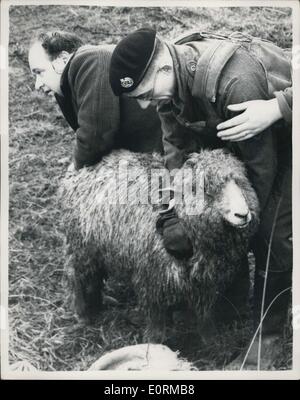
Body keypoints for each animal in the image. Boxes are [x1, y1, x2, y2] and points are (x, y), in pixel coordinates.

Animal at [59, 148, 258, 342]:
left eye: (239, 182)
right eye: (205, 189)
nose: (242, 215)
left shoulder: (205, 278)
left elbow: (205, 312)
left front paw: (211, 339)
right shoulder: (152, 277)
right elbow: (155, 318)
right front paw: (154, 343)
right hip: (81, 246)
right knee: (75, 276)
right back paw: (82, 313)